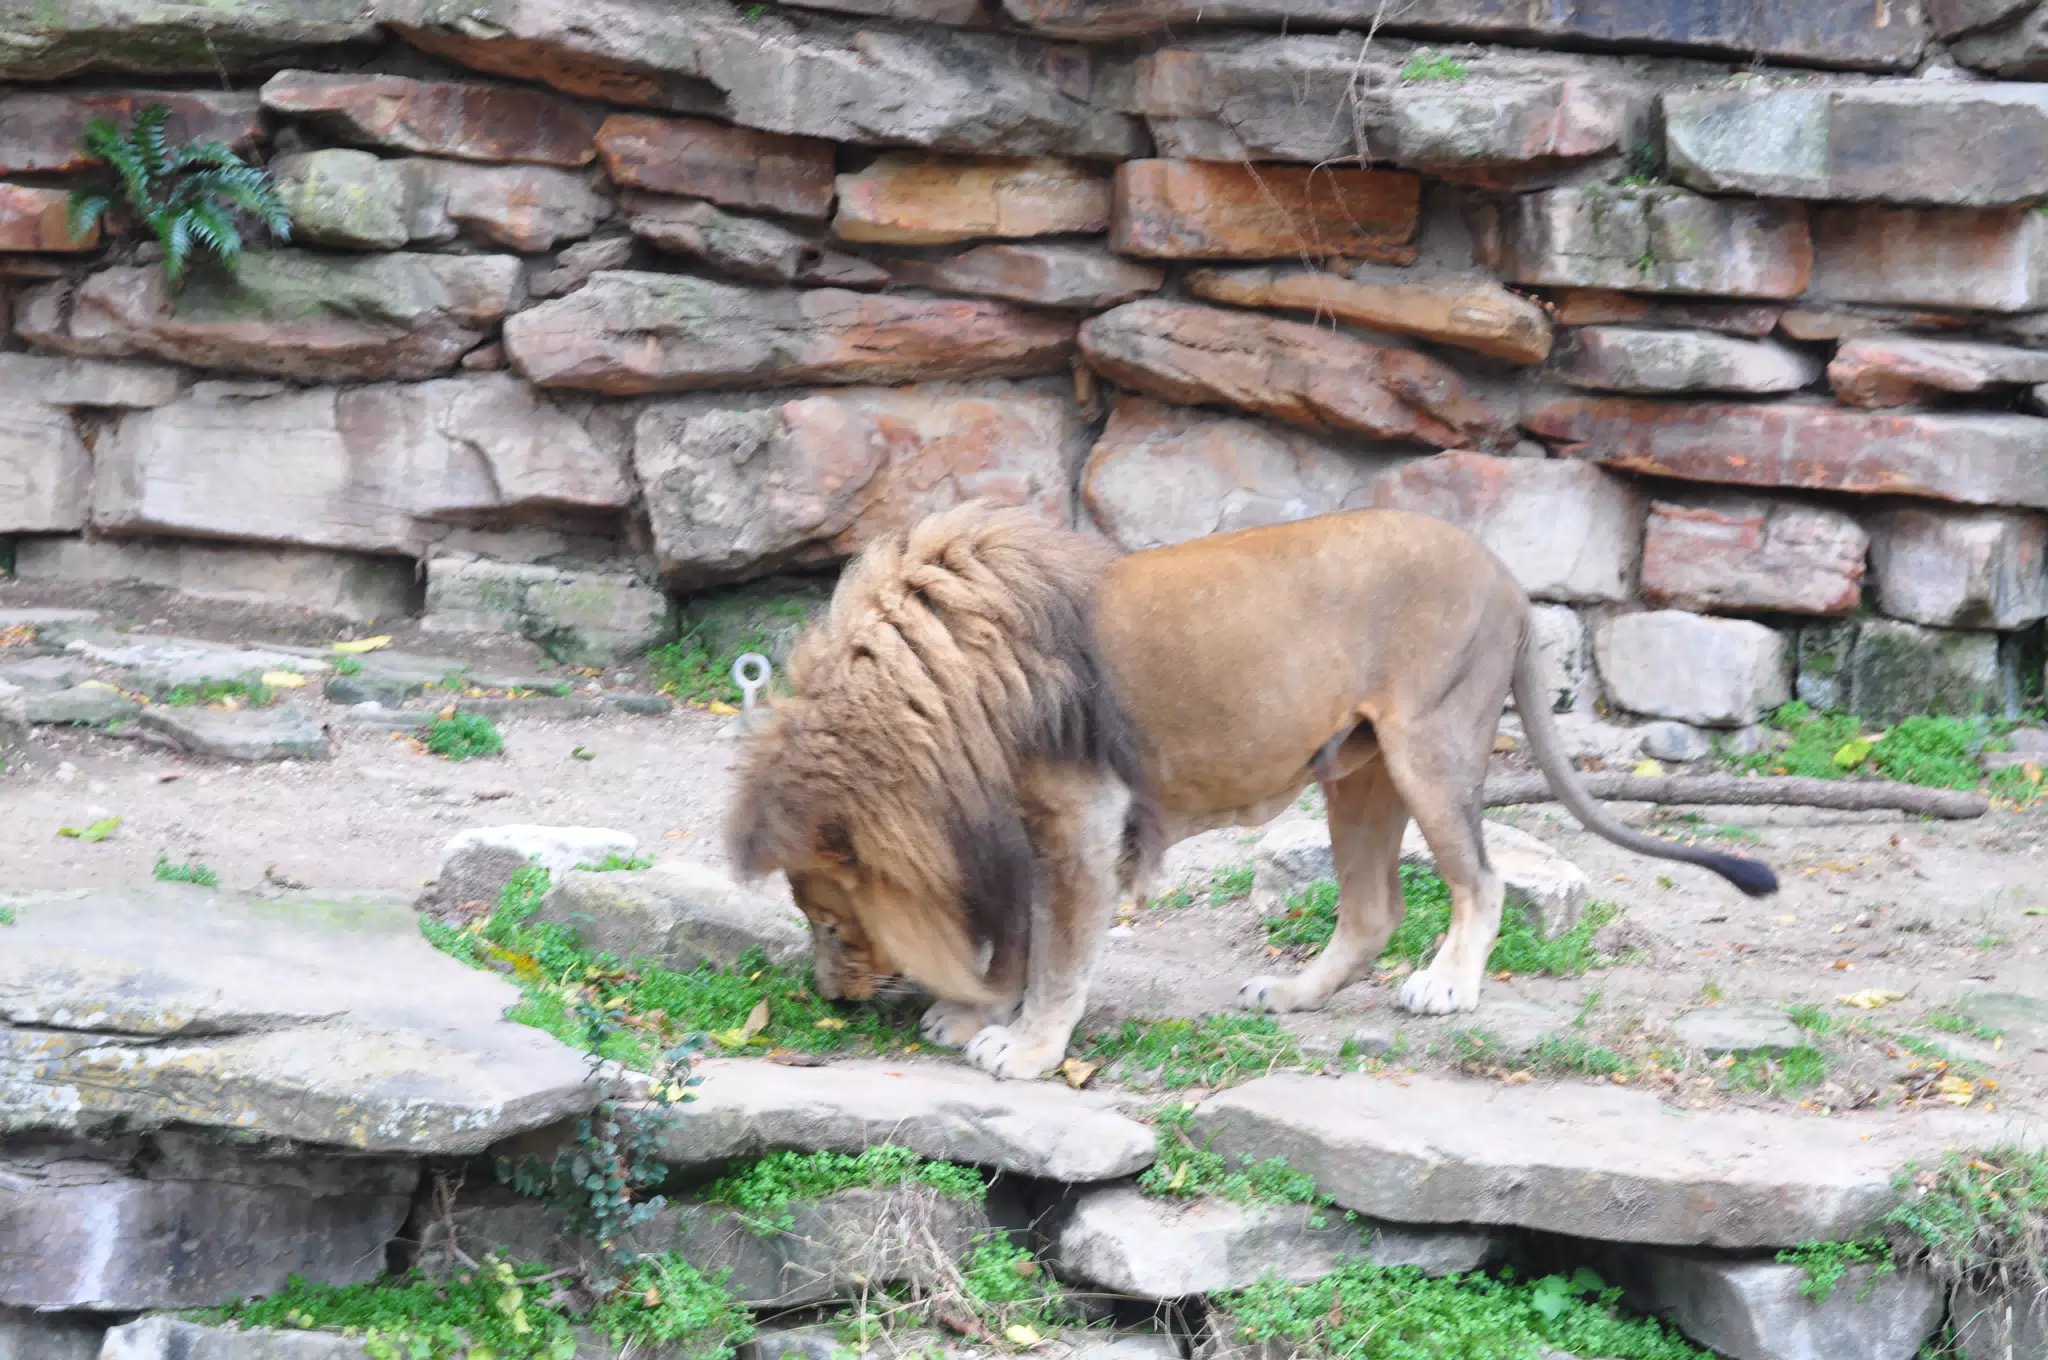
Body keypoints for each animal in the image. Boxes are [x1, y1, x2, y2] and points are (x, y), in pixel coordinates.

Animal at [728, 501, 1778, 1081]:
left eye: (829, 920)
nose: (831, 1001)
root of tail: (1512, 579)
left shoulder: (1082, 814)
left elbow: (1062, 950)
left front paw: (1024, 1048)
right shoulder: (1024, 827)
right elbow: (1024, 933)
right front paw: (976, 1013)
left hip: (1431, 745)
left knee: (1480, 879)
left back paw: (1447, 987)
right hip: (1359, 774)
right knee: (1372, 909)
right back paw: (1292, 992)